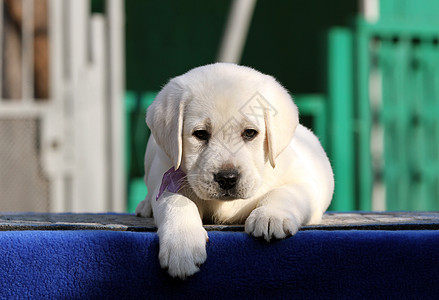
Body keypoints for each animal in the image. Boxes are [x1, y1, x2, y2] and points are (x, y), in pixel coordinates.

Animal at [136, 62, 336, 278]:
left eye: (250, 133)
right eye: (200, 134)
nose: (227, 178)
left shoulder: (305, 184)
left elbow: (284, 192)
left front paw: (270, 216)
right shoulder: (166, 182)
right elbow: (177, 202)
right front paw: (181, 245)